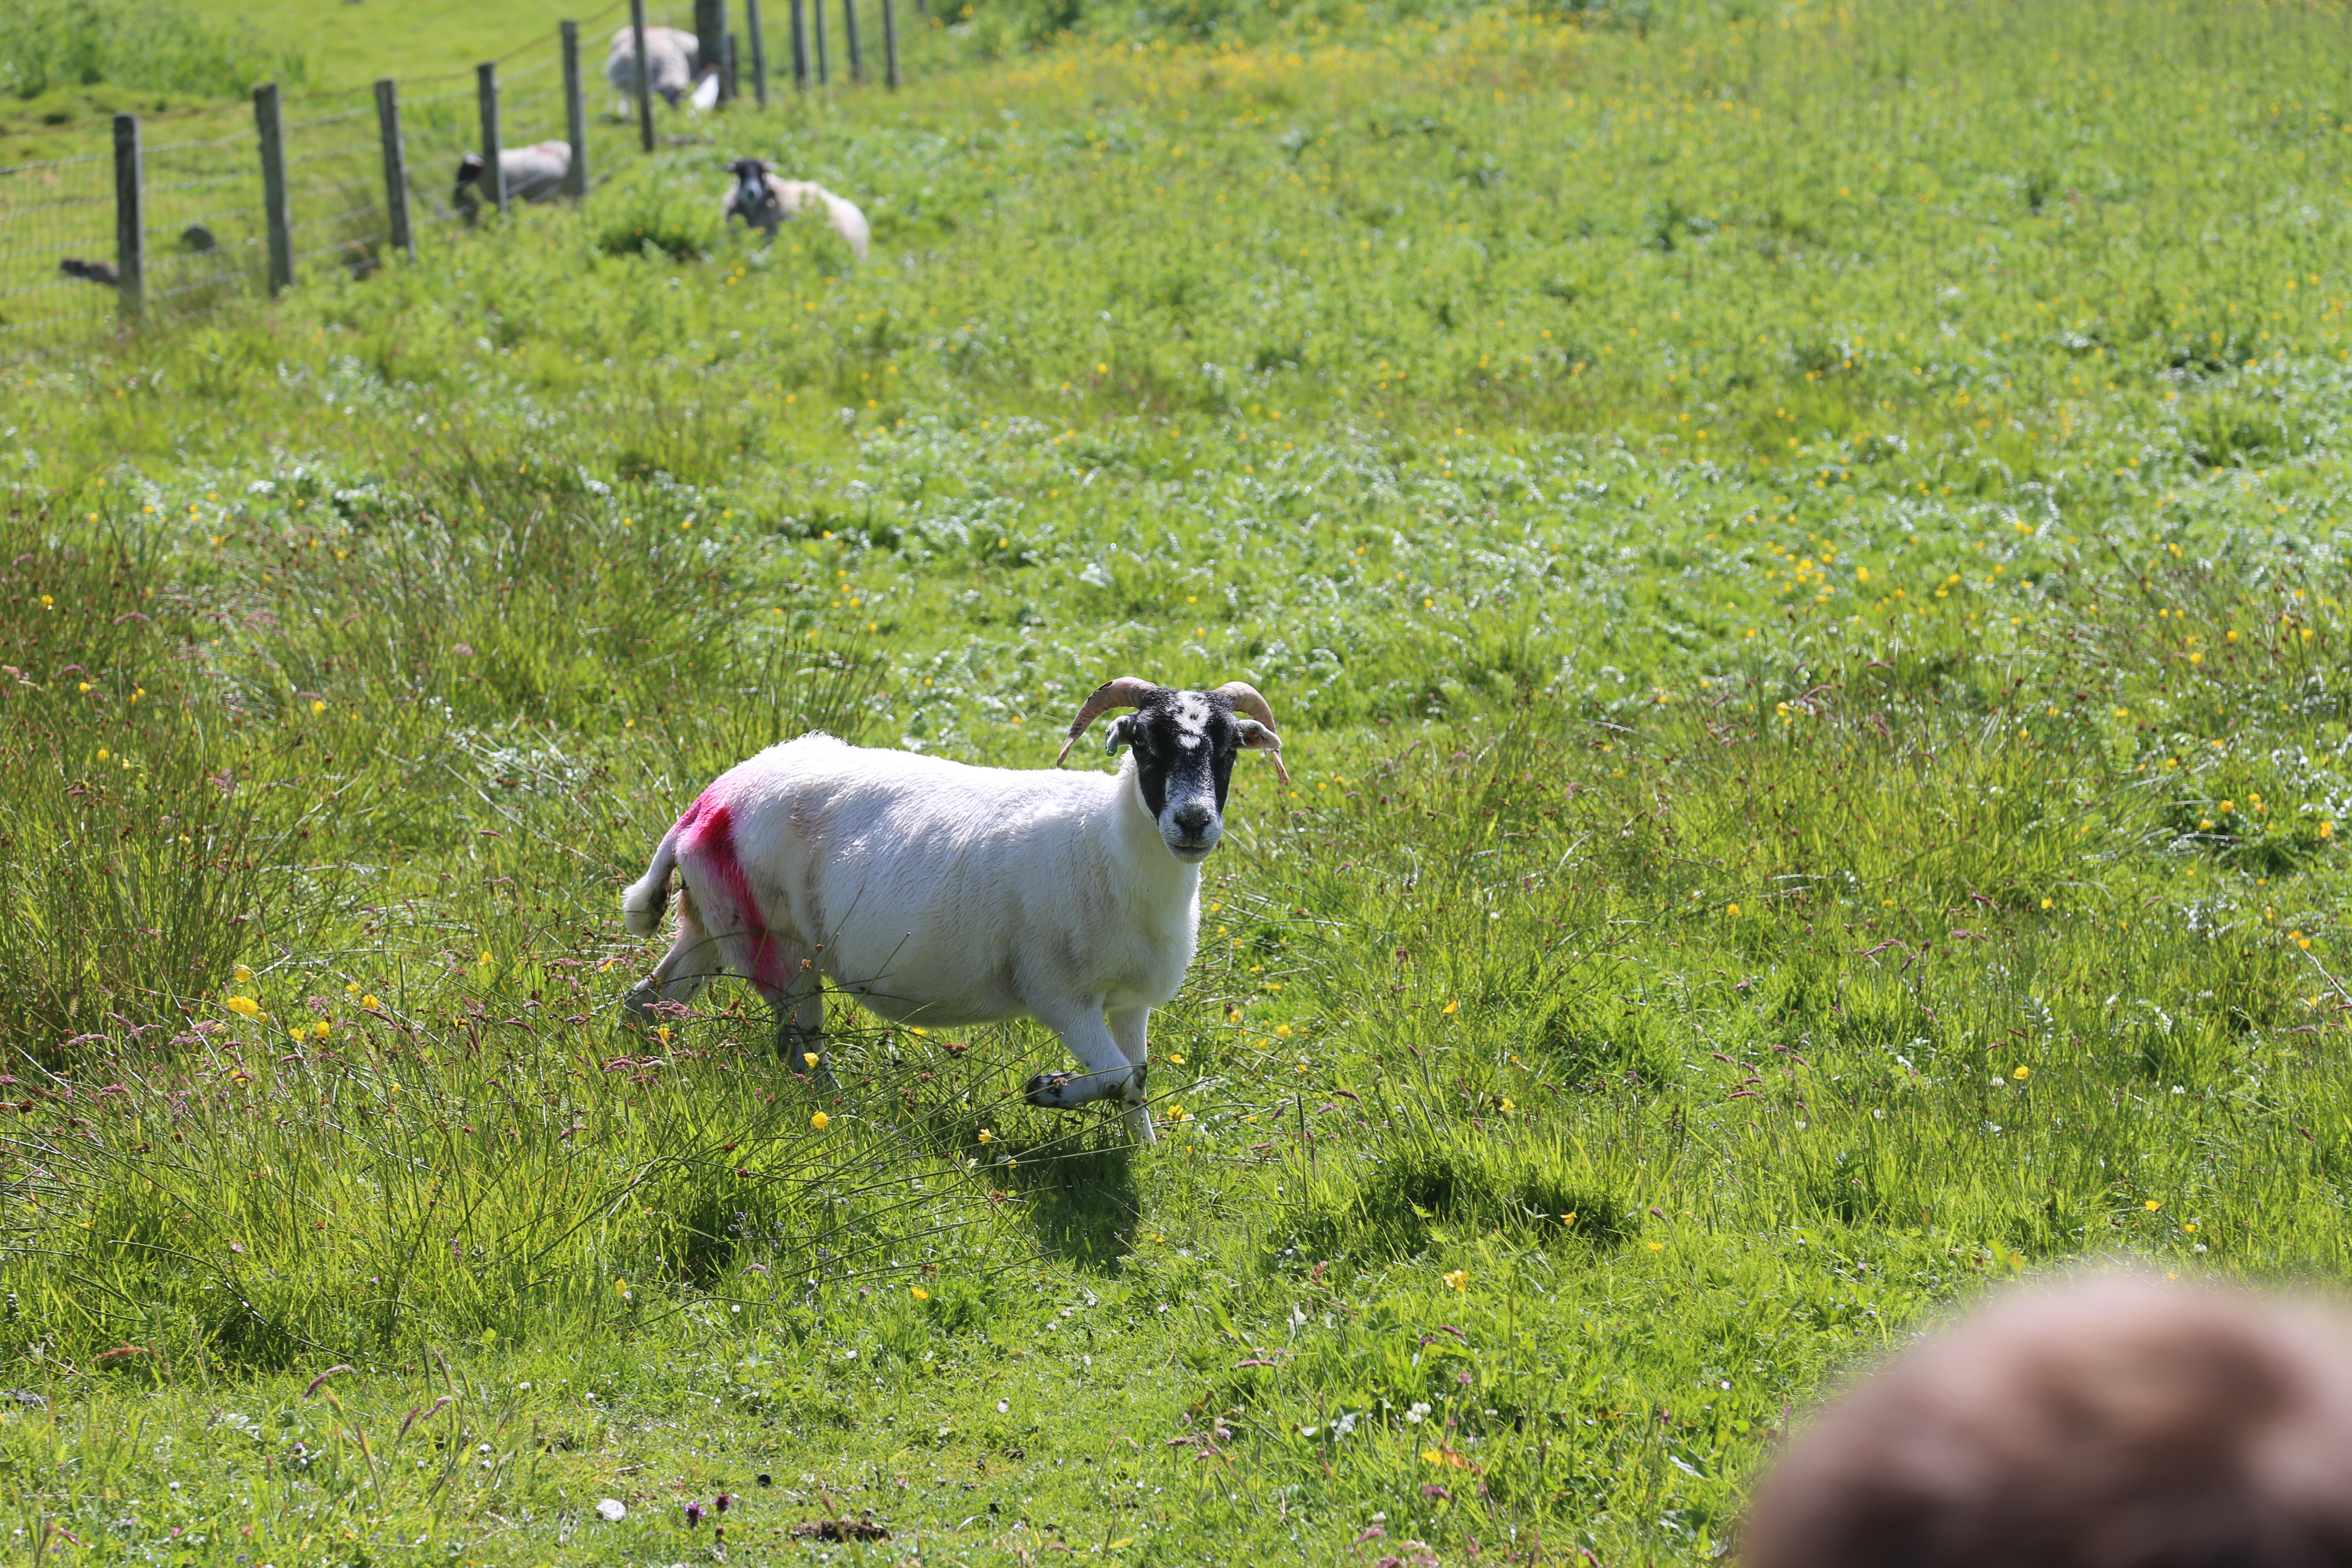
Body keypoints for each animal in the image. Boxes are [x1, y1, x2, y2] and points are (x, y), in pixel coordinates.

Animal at [616, 677, 1289, 1142]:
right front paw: (1047, 1091)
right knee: (799, 1048)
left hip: (712, 925)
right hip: (779, 948)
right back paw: (847, 1117)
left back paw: (635, 1069)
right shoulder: (1060, 997)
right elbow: (1120, 1076)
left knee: (647, 1000)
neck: (1106, 842)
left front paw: (1144, 1151)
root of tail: (706, 805)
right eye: (1144, 745)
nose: (1194, 822)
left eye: (1230, 750)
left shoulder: (1129, 1002)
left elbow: (1138, 1081)